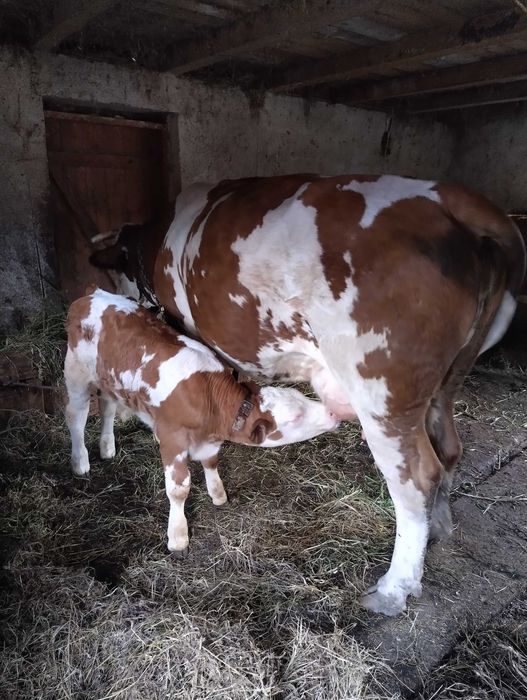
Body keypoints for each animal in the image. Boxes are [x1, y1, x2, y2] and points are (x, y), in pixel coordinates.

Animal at [64, 288, 339, 556]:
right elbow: (179, 489)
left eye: (301, 398)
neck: (211, 400)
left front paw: (218, 494)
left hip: (108, 380)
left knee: (107, 407)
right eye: (296, 417)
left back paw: (107, 446)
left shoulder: (208, 441)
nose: (333, 413)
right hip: (76, 374)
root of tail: (90, 296)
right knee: (76, 415)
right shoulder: (172, 439)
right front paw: (178, 538)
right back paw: (80, 461)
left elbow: (211, 462)